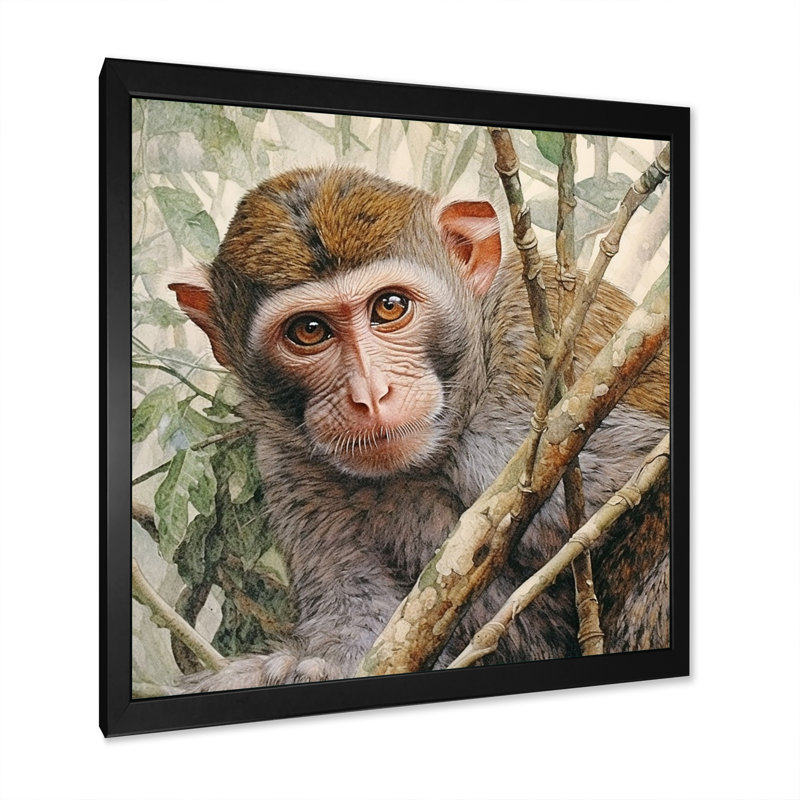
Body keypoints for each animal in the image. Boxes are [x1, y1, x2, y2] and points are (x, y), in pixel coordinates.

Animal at [169, 165, 670, 690]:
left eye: (390, 307)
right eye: (308, 331)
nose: (371, 394)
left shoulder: (537, 374)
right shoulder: (289, 461)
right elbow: (364, 623)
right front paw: (291, 669)